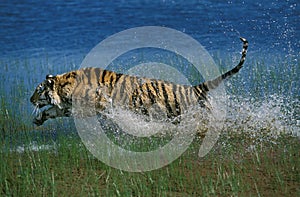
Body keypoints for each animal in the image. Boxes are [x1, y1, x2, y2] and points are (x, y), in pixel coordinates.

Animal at [30, 37, 248, 126]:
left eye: (38, 90)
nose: (30, 100)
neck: (62, 88)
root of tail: (194, 88)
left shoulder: (98, 103)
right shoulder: (68, 107)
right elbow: (51, 111)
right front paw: (38, 119)